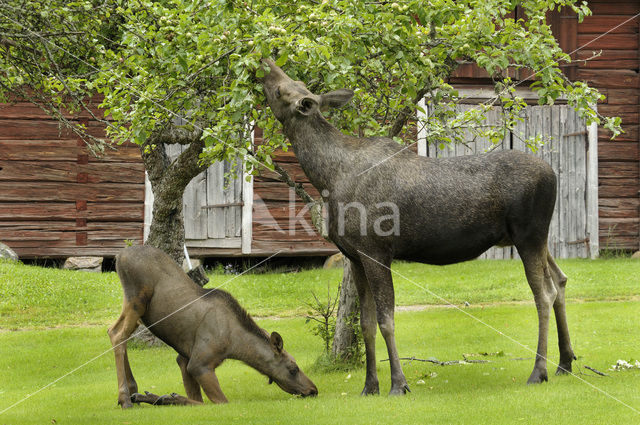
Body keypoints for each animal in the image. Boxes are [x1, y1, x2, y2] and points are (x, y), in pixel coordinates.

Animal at [110, 245, 320, 408]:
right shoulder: (199, 364)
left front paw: (153, 396)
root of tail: (119, 256)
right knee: (118, 335)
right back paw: (124, 398)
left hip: (134, 307)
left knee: (115, 332)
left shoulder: (184, 359)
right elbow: (217, 402)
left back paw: (133, 390)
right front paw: (167, 398)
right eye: (293, 368)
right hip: (137, 300)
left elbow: (197, 398)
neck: (236, 346)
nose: (313, 389)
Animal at [258, 58, 576, 394]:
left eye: (281, 89)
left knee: (544, 293)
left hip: (530, 235)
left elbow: (386, 320)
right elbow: (365, 324)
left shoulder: (376, 251)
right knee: (561, 280)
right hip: (532, 238)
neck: (326, 178)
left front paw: (398, 383)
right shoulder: (354, 256)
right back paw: (565, 362)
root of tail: (553, 175)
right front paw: (370, 386)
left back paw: (539, 370)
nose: (265, 62)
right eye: (293, 83)